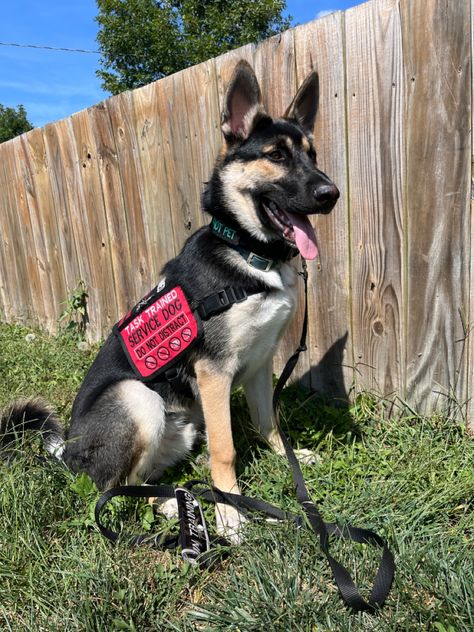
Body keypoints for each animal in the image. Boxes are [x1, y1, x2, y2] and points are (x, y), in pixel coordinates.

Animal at [1, 59, 338, 540]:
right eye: (276, 155)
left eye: (312, 155)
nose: (332, 195)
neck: (248, 253)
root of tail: (68, 453)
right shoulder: (214, 373)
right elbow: (226, 450)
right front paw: (231, 514)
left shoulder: (259, 363)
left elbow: (266, 421)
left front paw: (287, 456)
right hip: (138, 399)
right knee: (112, 488)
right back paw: (172, 507)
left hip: (182, 428)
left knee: (141, 479)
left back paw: (175, 499)